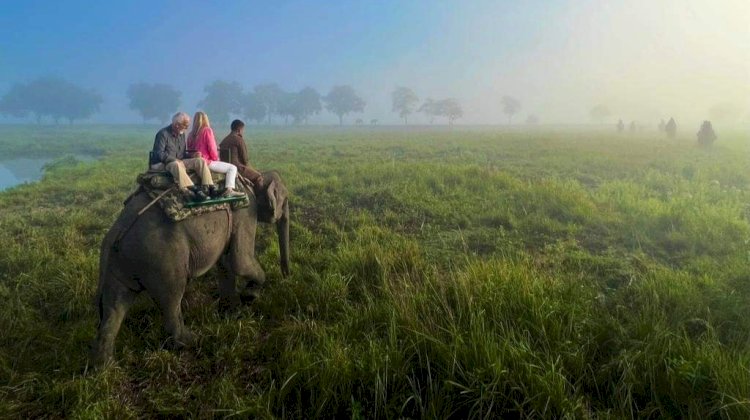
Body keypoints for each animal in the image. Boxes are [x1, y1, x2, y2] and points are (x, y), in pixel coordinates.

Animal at [90, 171, 289, 367]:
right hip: (163, 261)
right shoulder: (246, 212)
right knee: (171, 298)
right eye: (285, 199)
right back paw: (192, 340)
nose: (287, 277)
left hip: (119, 266)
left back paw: (106, 366)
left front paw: (231, 312)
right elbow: (240, 261)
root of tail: (117, 233)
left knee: (114, 307)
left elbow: (226, 264)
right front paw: (249, 297)